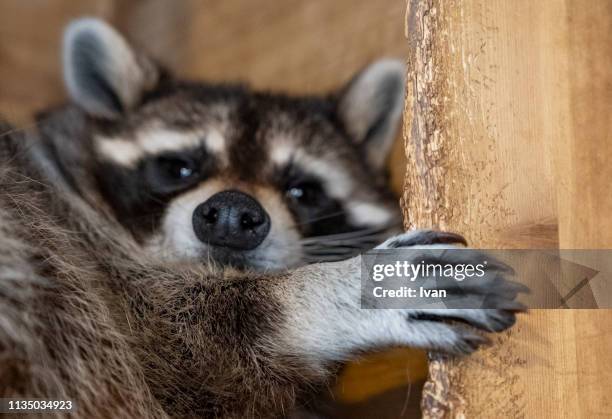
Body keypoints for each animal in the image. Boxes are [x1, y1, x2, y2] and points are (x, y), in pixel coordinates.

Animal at [0, 18, 524, 418]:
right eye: (180, 167)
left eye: (302, 190)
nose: (232, 215)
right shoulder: (90, 256)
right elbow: (190, 341)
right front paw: (336, 291)